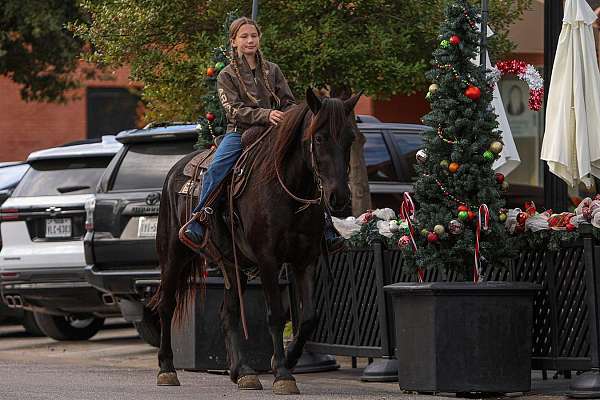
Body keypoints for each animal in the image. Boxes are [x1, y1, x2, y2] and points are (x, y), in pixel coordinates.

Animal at [150, 90, 360, 394]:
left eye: (350, 138)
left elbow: (308, 317)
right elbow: (276, 315)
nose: (339, 197)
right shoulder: (268, 259)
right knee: (166, 305)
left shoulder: (305, 260)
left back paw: (243, 372)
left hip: (232, 265)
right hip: (172, 255)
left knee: (228, 314)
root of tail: (175, 170)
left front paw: (285, 361)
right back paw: (167, 369)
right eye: (319, 138)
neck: (288, 188)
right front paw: (283, 374)